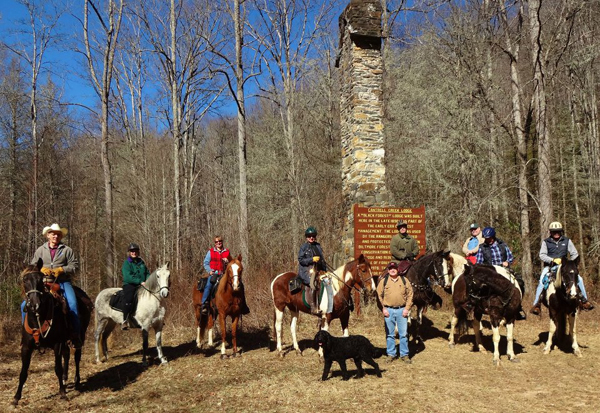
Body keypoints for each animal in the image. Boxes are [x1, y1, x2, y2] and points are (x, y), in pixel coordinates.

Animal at [12, 260, 92, 406]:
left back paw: (76, 380)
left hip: (80, 335)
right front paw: (16, 397)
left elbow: (57, 368)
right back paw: (66, 379)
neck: (39, 318)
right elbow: (23, 372)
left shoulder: (57, 344)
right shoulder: (26, 347)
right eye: (25, 280)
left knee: (77, 356)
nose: (35, 305)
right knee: (67, 355)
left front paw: (62, 393)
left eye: (40, 279)